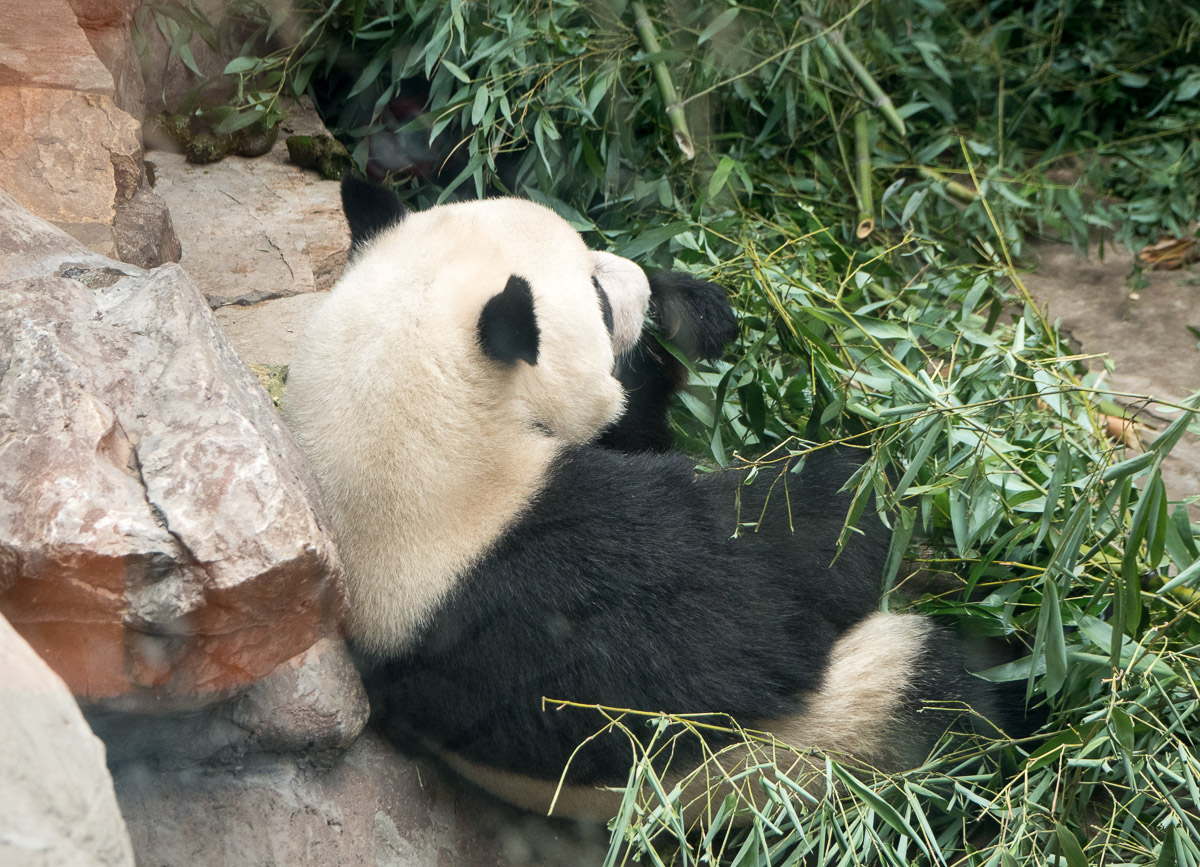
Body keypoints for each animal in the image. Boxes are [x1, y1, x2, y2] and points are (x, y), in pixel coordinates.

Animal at [282, 176, 1002, 823]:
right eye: (598, 299)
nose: (640, 280)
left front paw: (694, 309)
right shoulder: (552, 577)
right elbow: (750, 616)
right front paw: (860, 489)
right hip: (839, 728)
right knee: (946, 699)